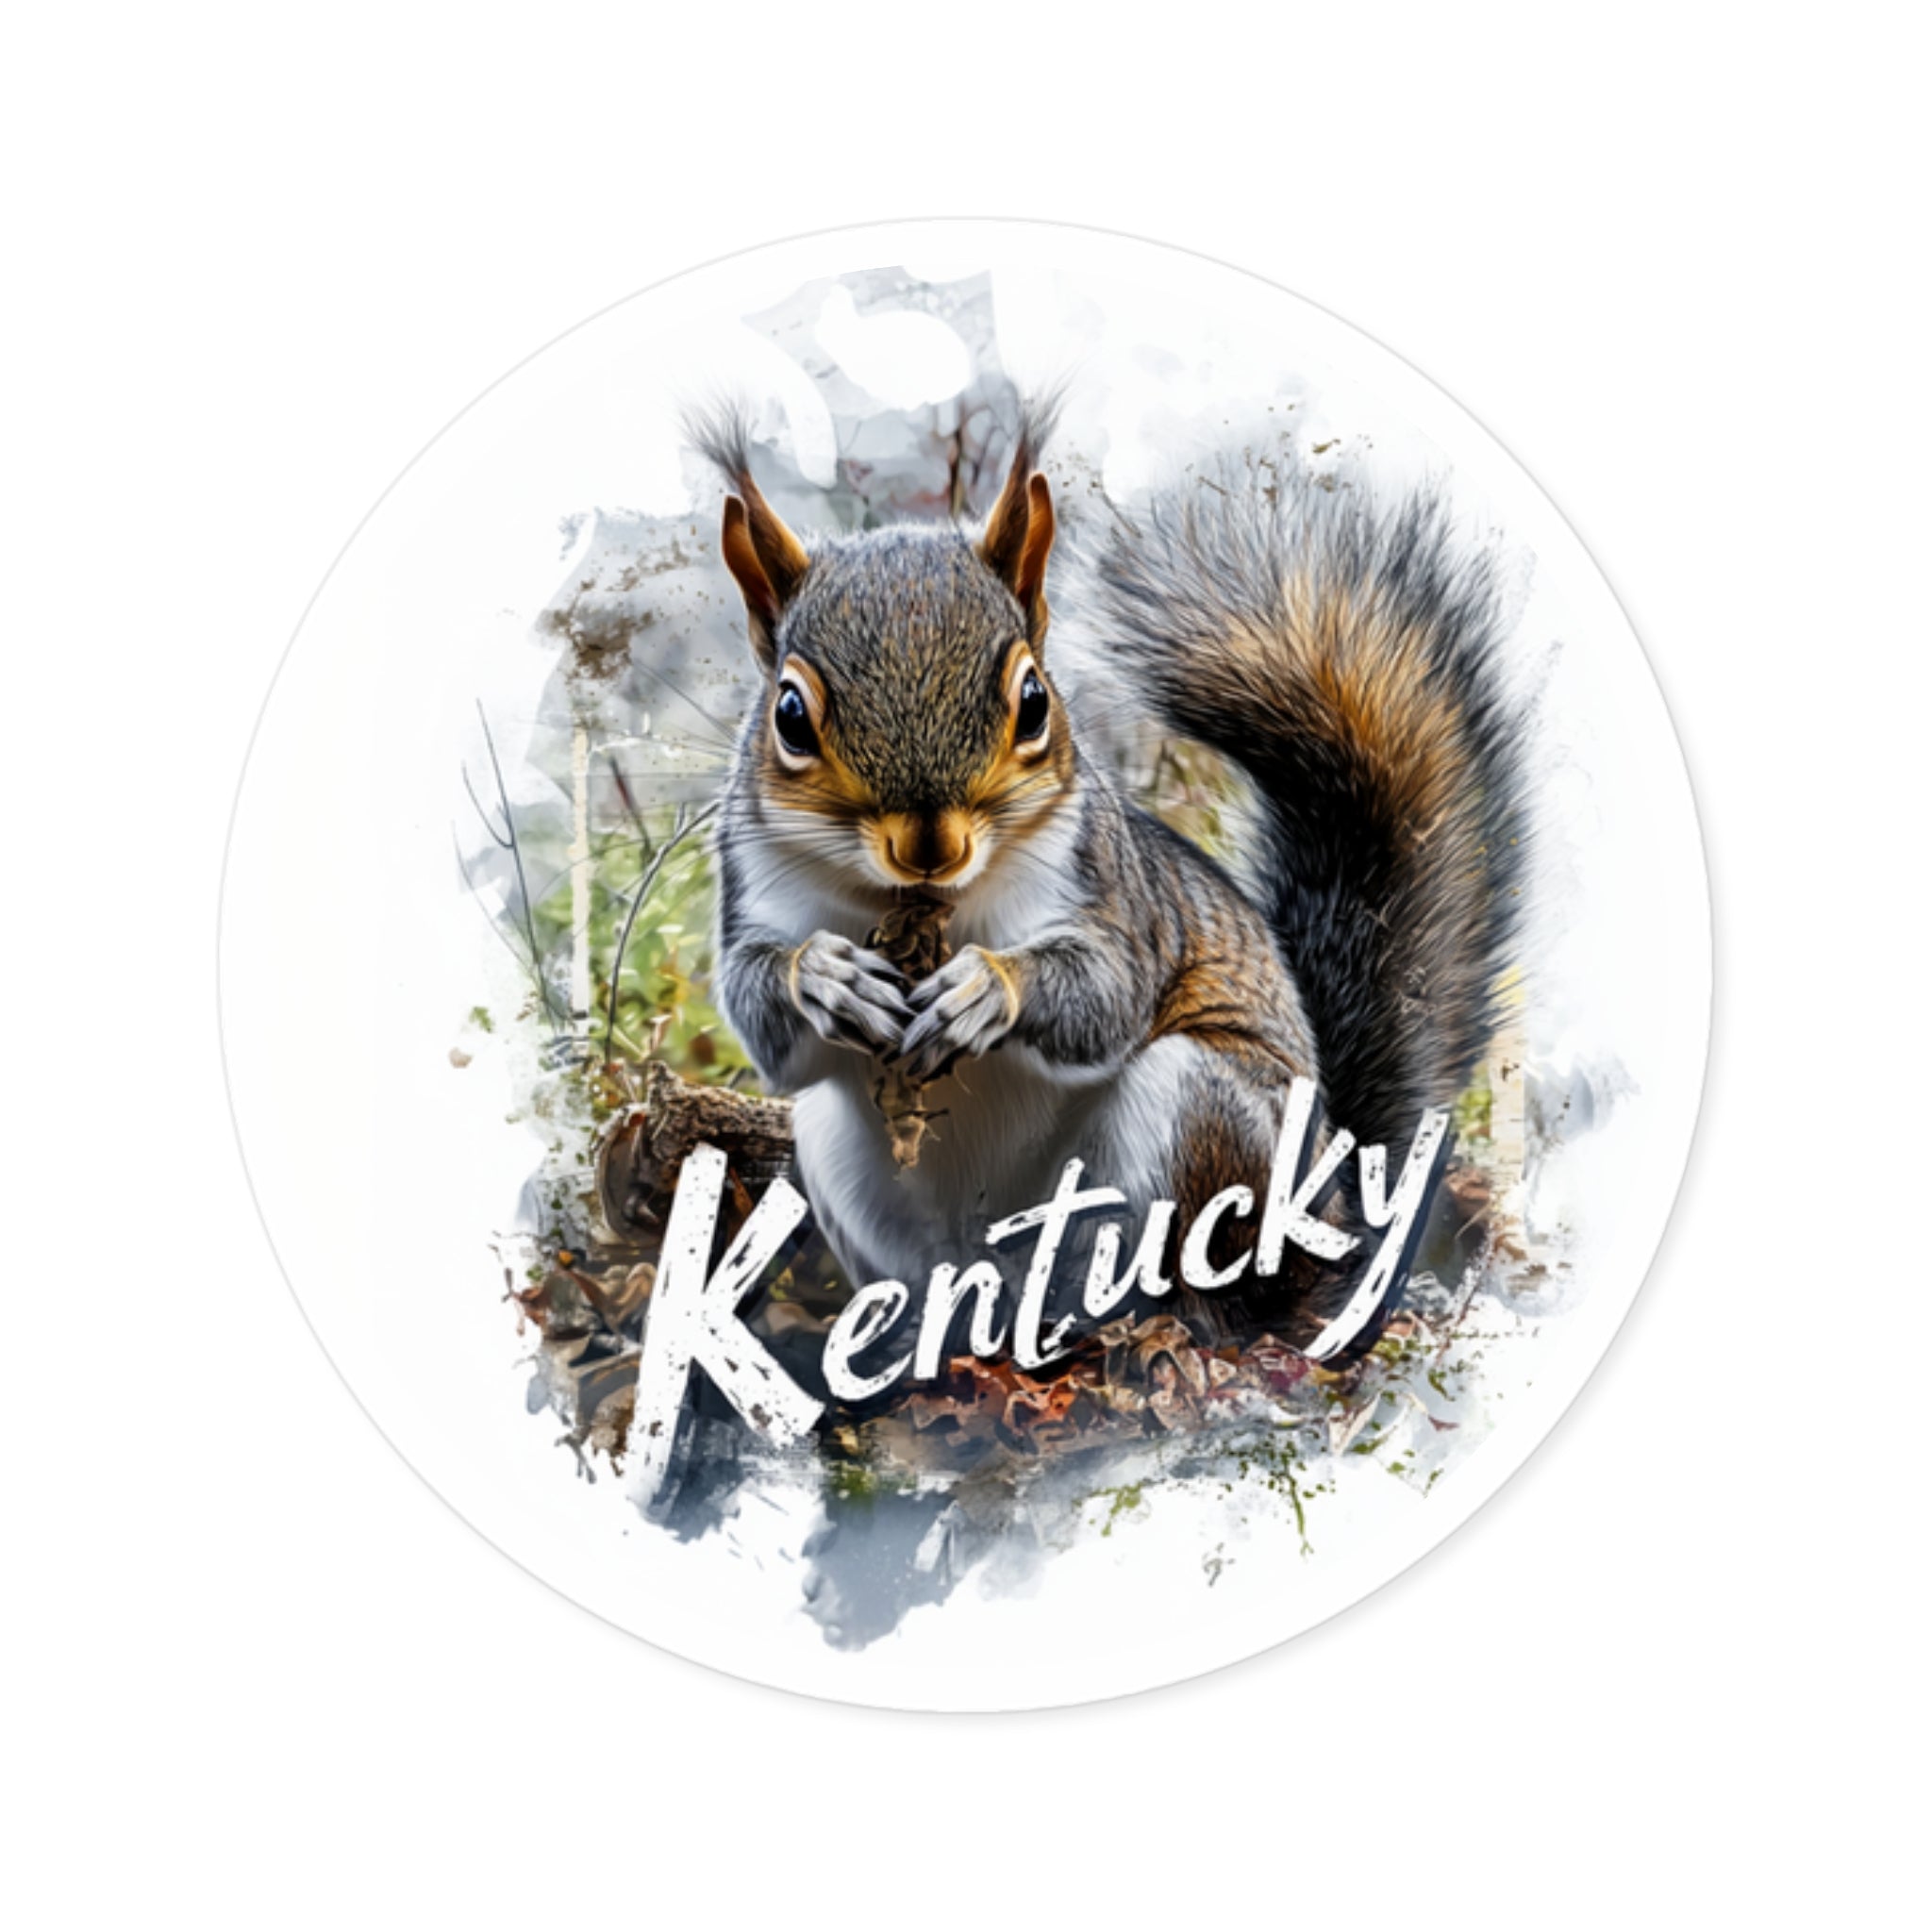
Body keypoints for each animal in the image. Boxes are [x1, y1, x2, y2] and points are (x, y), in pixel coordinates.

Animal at [690, 398, 1527, 1358]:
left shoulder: (1113, 890)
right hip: (837, 1152)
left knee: (1215, 1303)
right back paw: (925, 1336)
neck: (924, 906)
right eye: (789, 714)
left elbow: (1108, 990)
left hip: (1200, 1115)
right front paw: (827, 977)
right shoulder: (754, 886)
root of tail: (1330, 1222)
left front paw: (988, 989)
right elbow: (762, 1012)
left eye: (1033, 702)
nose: (929, 847)